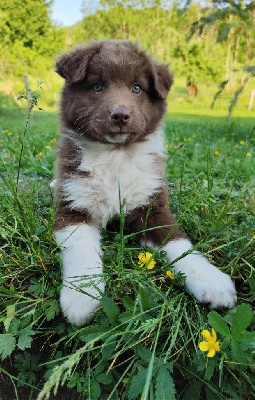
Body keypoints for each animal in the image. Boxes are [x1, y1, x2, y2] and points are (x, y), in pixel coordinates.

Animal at [53, 40, 237, 326]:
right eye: (97, 86)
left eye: (137, 88)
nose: (120, 115)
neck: (116, 155)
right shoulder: (72, 204)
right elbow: (80, 247)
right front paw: (82, 295)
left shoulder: (152, 207)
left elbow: (178, 243)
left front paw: (211, 280)